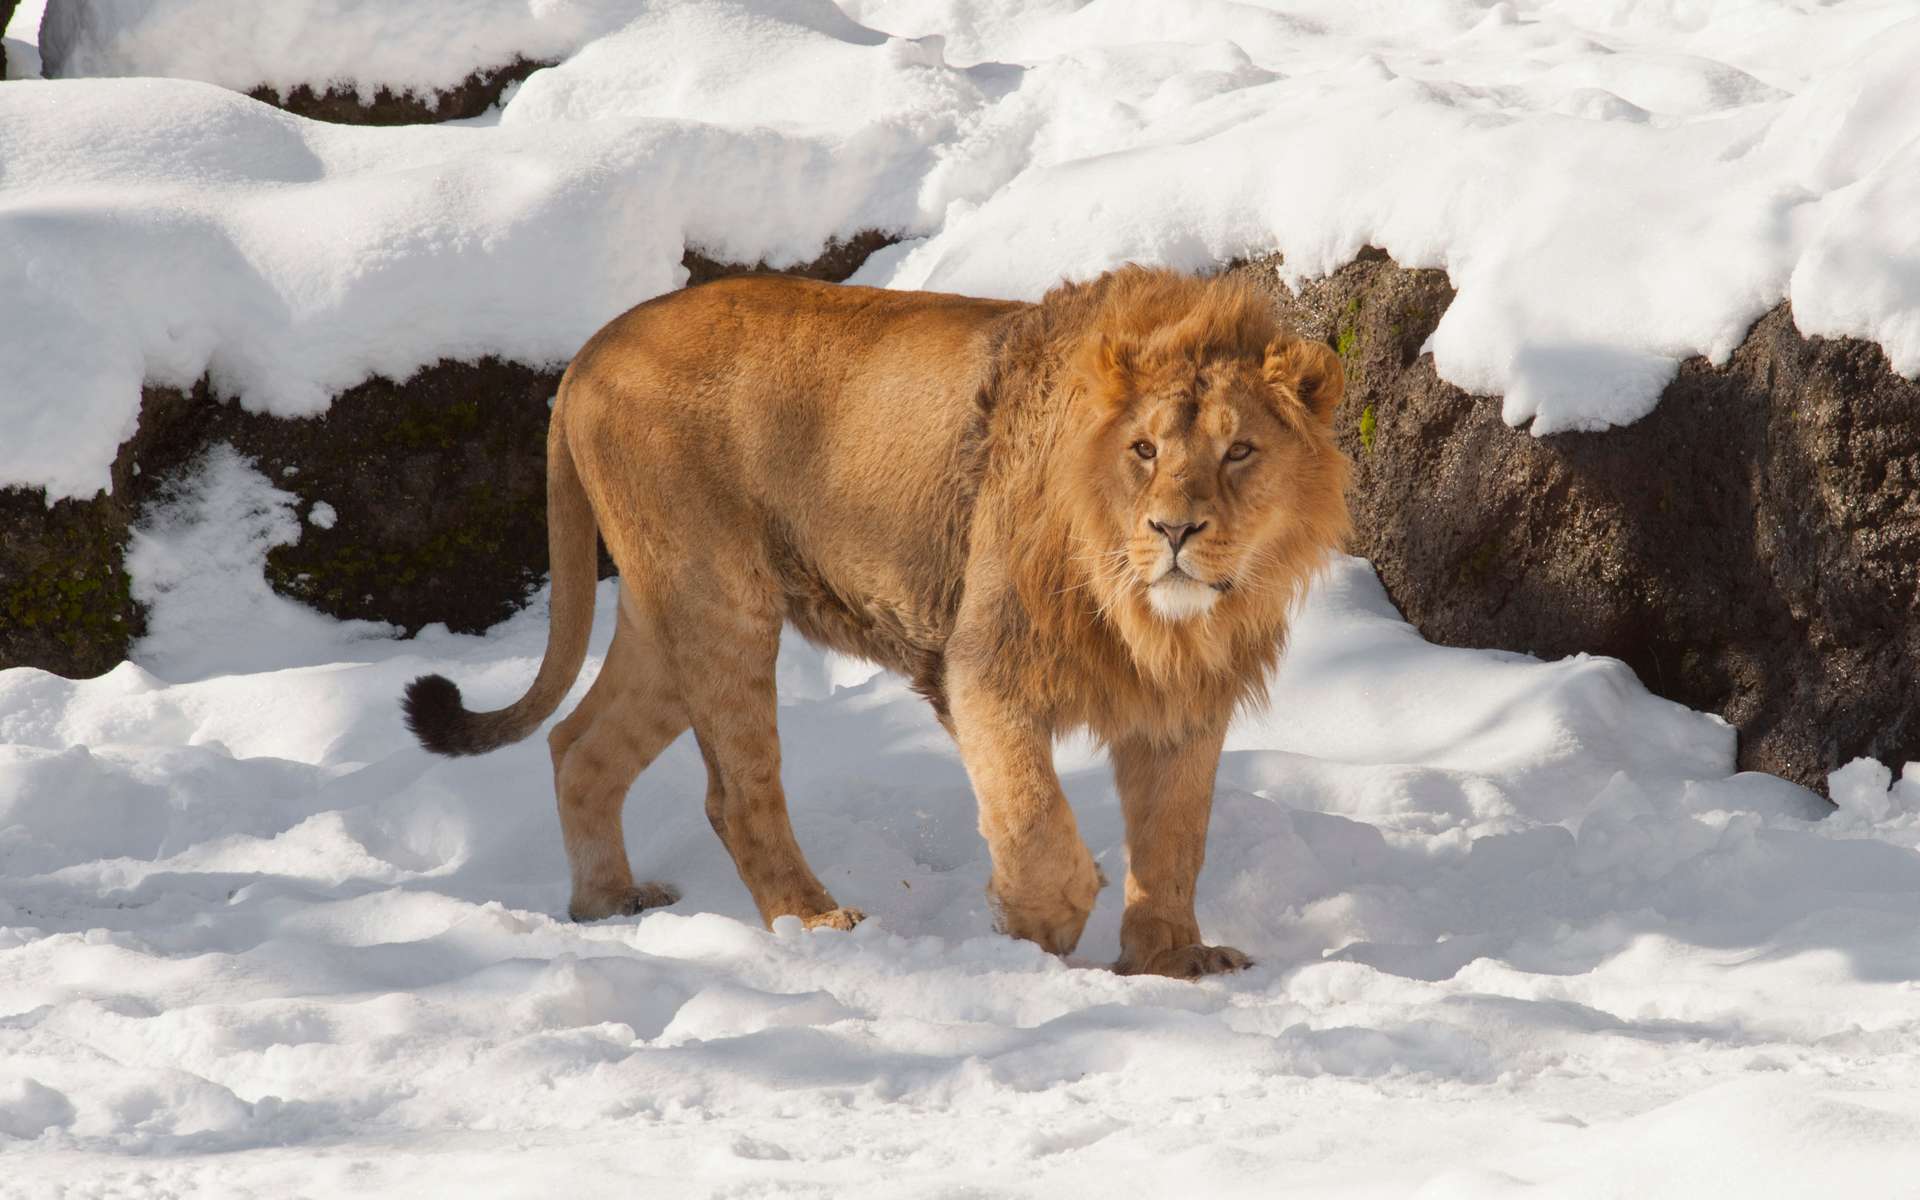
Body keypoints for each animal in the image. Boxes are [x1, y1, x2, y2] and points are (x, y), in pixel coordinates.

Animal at [401, 266, 1351, 979]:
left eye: (1240, 451)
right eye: (1144, 450)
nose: (1174, 531)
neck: (1154, 619)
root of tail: (594, 348)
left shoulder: (1184, 701)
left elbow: (1174, 838)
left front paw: (1171, 961)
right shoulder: (980, 667)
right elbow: (1034, 818)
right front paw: (1037, 932)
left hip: (665, 612)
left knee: (580, 746)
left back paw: (607, 905)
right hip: (721, 601)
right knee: (734, 794)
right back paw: (816, 925)